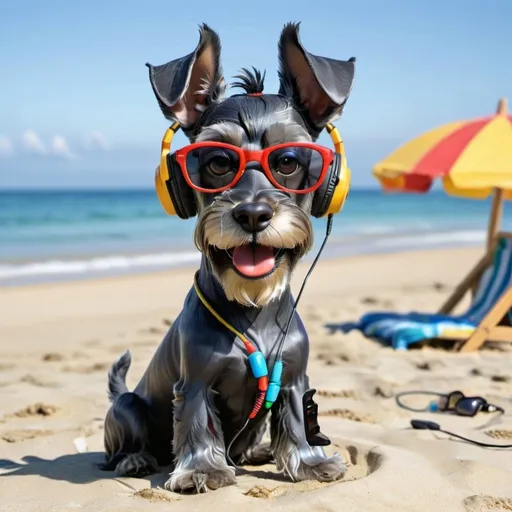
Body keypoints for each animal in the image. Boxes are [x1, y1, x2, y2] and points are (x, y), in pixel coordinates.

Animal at [100, 22, 356, 494]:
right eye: (219, 161)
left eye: (287, 161)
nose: (252, 214)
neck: (251, 309)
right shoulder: (196, 382)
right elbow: (197, 424)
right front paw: (201, 470)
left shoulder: (294, 380)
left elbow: (297, 423)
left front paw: (310, 463)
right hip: (126, 407)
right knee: (116, 447)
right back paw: (135, 459)